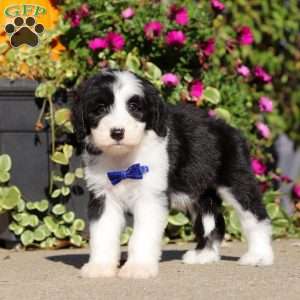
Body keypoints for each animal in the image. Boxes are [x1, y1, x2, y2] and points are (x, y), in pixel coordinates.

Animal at [71, 69, 274, 278]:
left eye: (134, 107)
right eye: (100, 108)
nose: (117, 132)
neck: (124, 160)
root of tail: (230, 129)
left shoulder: (151, 197)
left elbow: (141, 236)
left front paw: (138, 267)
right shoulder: (103, 196)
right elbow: (103, 234)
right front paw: (100, 267)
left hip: (236, 180)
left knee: (255, 216)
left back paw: (259, 256)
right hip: (199, 193)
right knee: (211, 220)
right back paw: (204, 255)